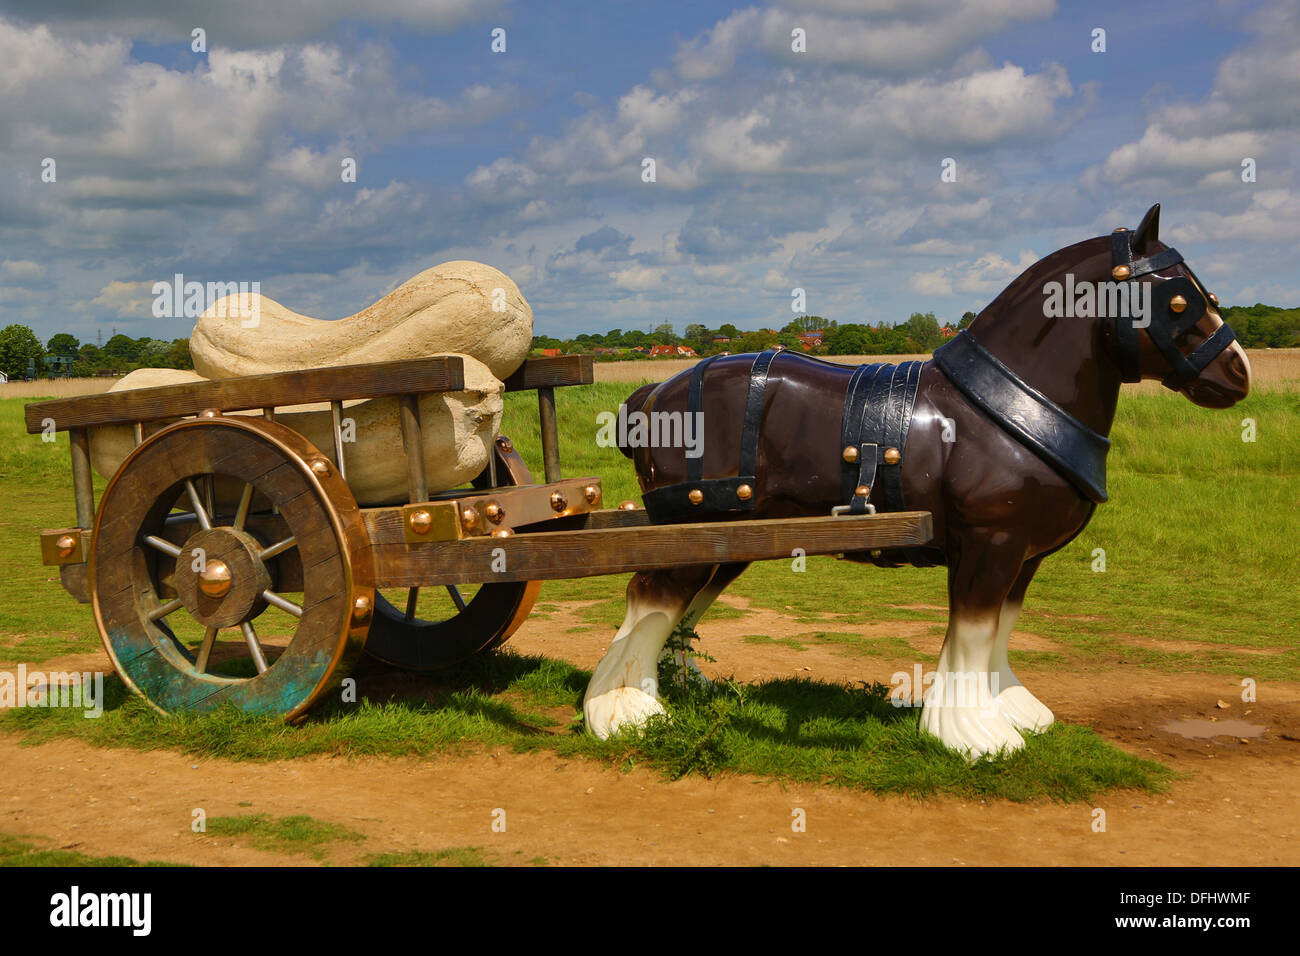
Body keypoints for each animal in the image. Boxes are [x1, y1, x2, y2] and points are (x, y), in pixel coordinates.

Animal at [582, 205, 1248, 759]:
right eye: (1179, 301)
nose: (1238, 372)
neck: (1000, 410)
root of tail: (653, 395)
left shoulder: (1022, 554)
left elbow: (997, 633)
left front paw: (1005, 711)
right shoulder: (990, 541)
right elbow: (974, 634)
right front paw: (971, 733)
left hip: (732, 540)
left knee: (674, 609)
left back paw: (668, 688)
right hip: (688, 529)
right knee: (648, 597)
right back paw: (624, 710)